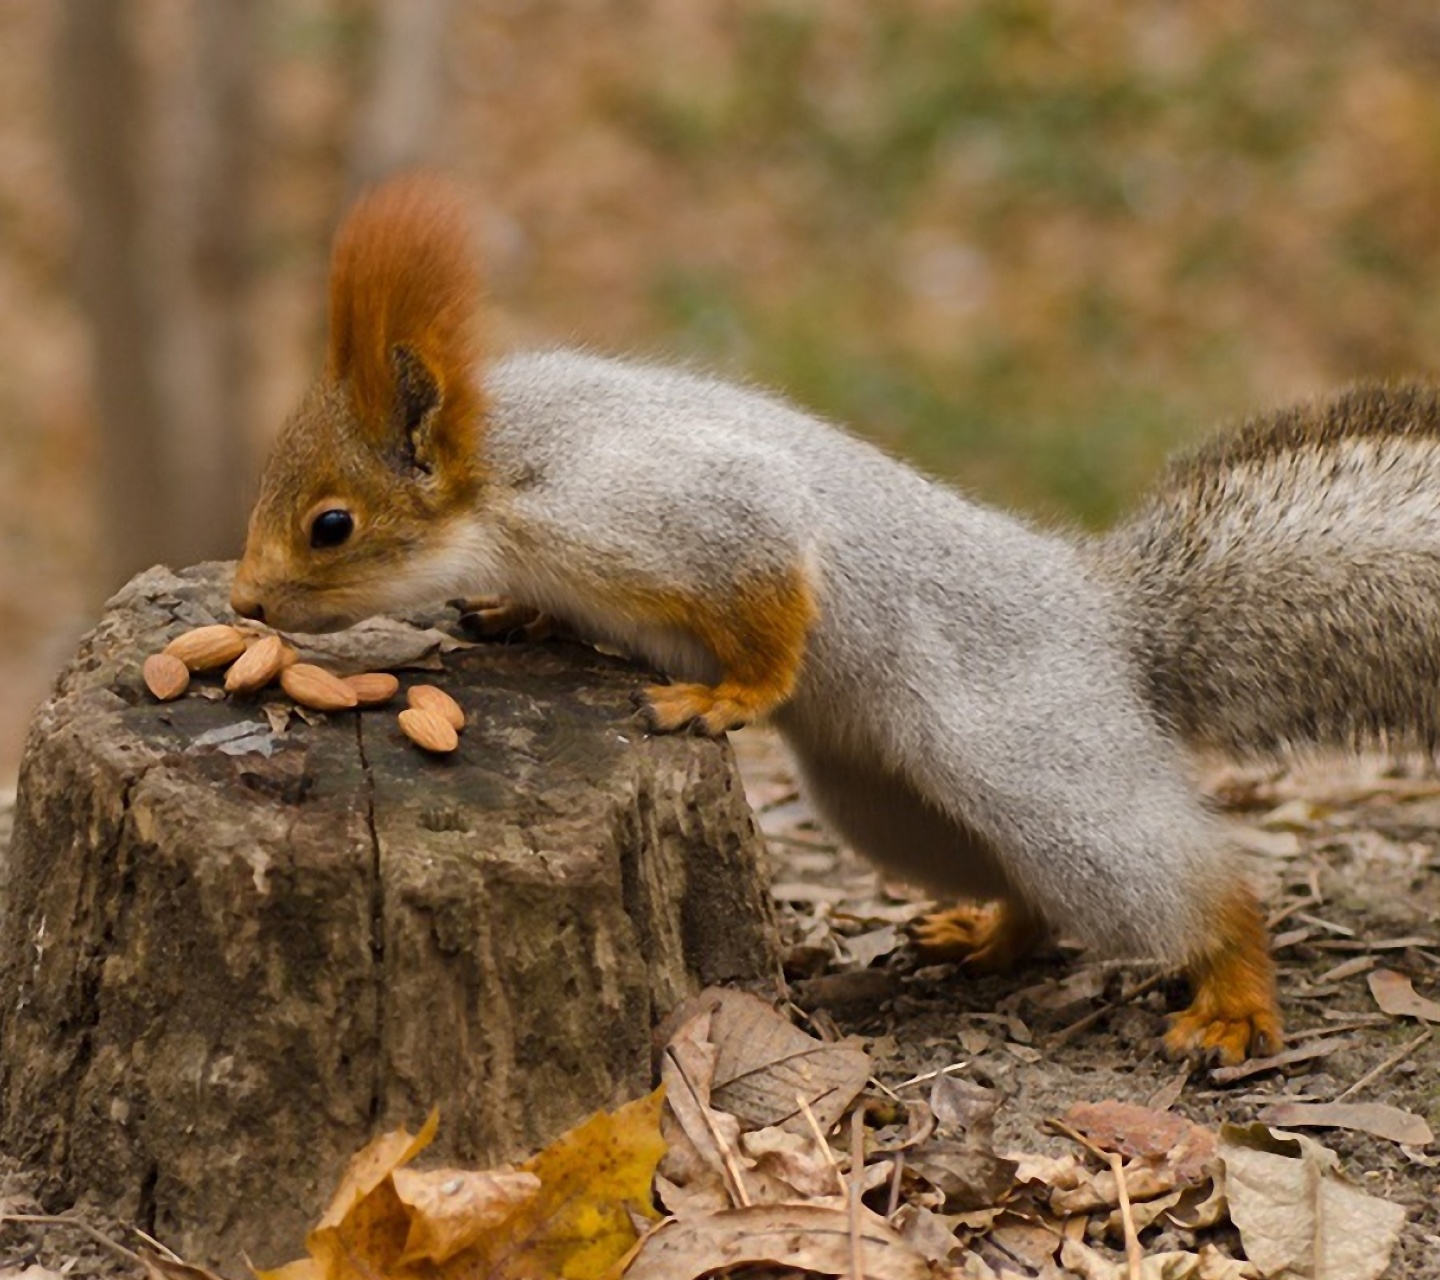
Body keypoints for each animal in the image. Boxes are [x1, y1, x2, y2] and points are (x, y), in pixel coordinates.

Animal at [230, 177, 1440, 1059]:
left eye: (332, 525)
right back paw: (987, 934)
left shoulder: (672, 507)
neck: (506, 467)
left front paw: (727, 694)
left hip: (1043, 769)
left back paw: (1233, 991)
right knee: (1031, 892)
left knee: (1189, 886)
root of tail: (1112, 622)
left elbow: (769, 587)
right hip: (888, 806)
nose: (243, 601)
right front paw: (511, 613)